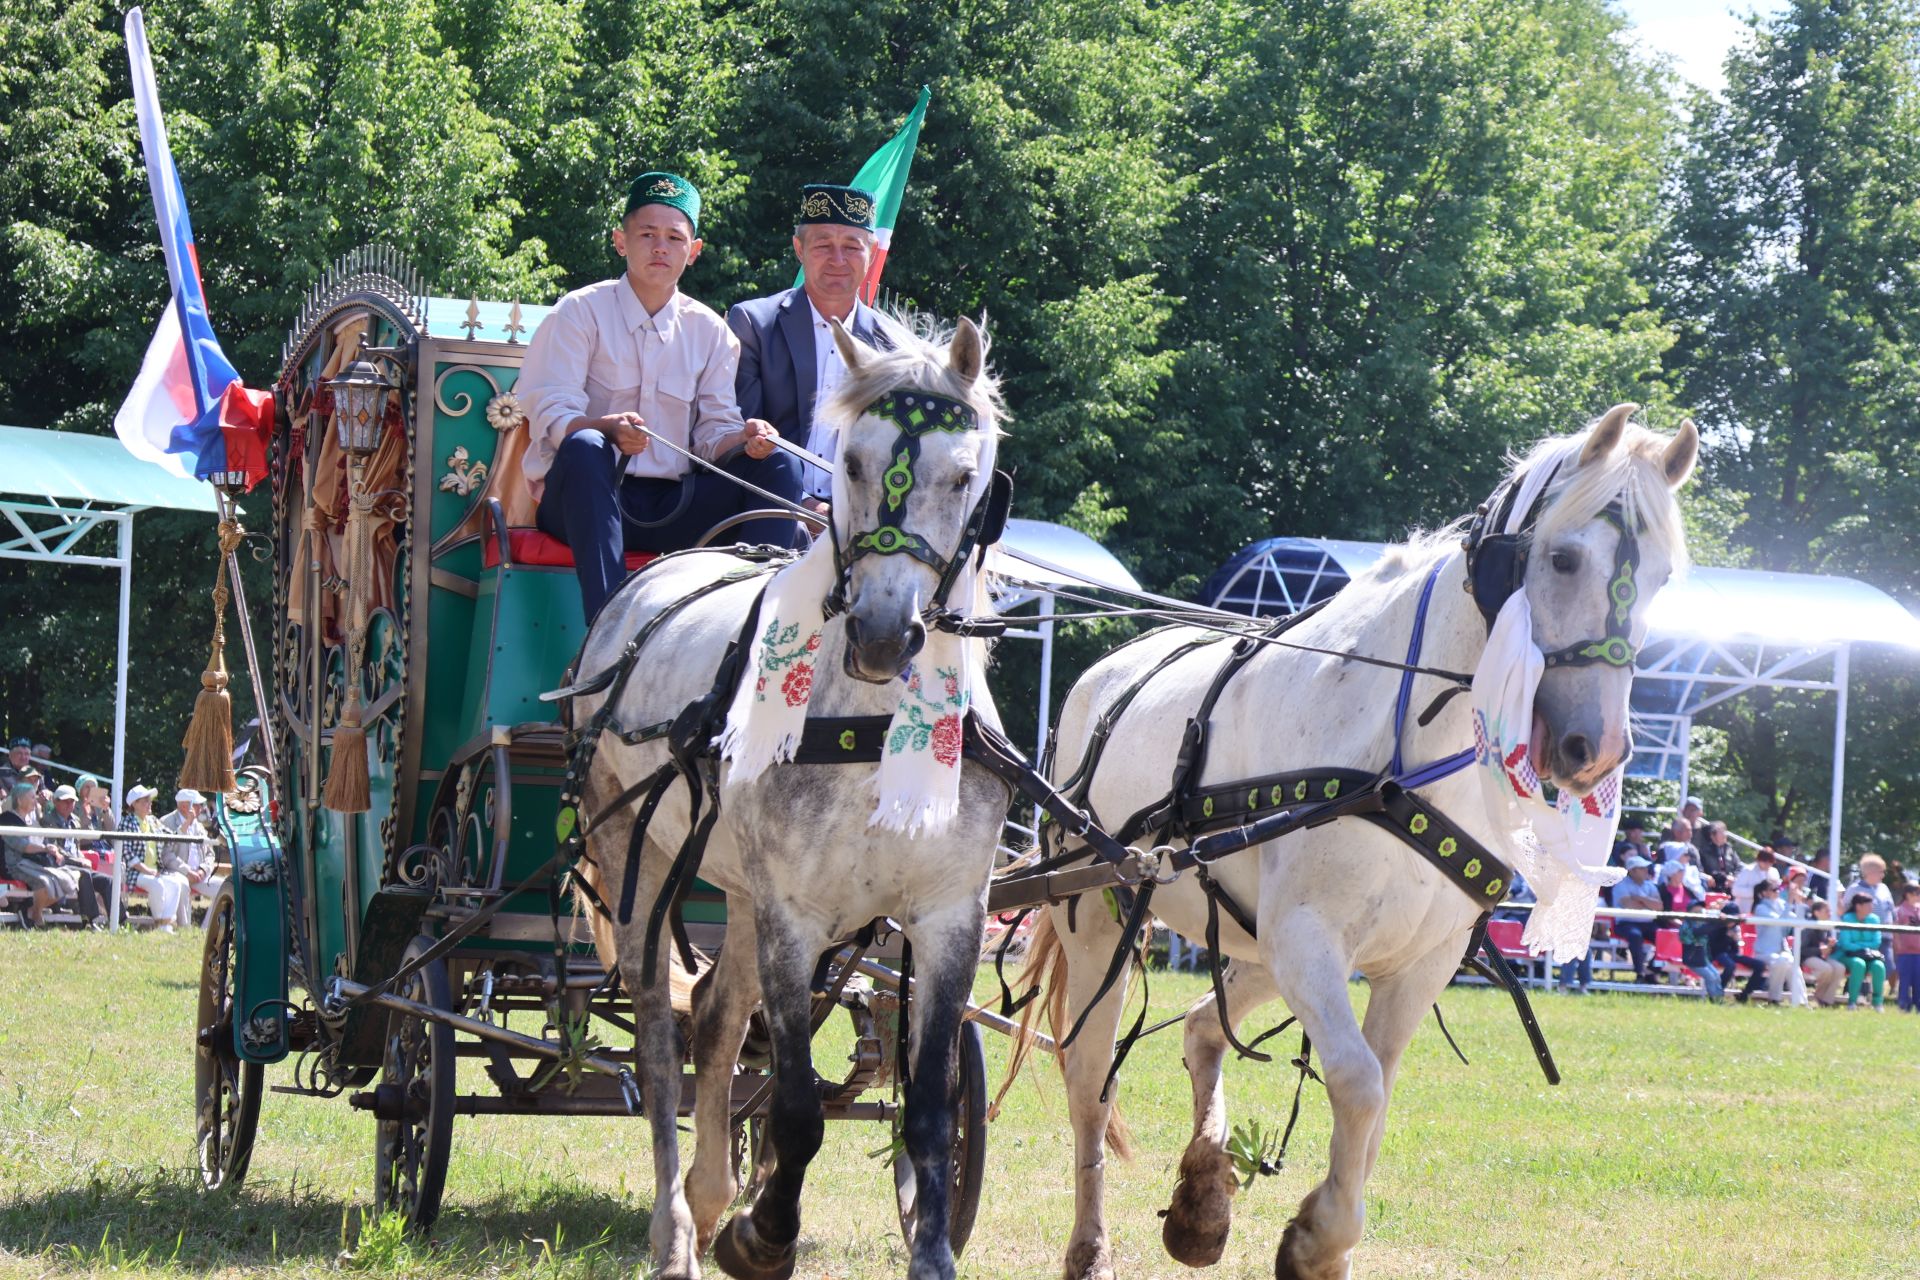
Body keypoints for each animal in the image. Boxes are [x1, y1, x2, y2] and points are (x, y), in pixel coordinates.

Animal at [568, 314, 1013, 1280]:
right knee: (661, 1035)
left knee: (717, 1025)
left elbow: (928, 1111)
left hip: (737, 891)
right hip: (637, 857)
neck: (873, 732)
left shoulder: (948, 915)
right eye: (852, 461)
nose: (884, 634)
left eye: (964, 477)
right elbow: (800, 1109)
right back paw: (677, 1228)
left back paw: (708, 1195)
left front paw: (931, 1253)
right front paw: (761, 1235)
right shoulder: (795, 916)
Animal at [1013, 412, 1689, 1280]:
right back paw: (1090, 1244)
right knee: (1090, 1079)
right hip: (1104, 919)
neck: (1406, 748)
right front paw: (1316, 1240)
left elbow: (1378, 1094)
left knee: (1202, 1026)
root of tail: (1104, 673)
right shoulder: (1308, 936)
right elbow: (1359, 1083)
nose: (1593, 750)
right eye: (1565, 557)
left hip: (1254, 939)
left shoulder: (1418, 958)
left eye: (1664, 579)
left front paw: (1319, 1232)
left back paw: (1202, 1200)